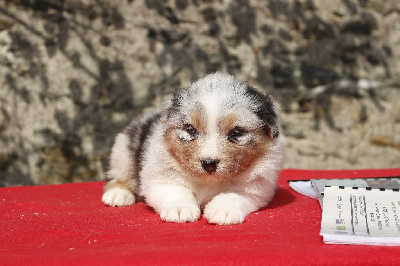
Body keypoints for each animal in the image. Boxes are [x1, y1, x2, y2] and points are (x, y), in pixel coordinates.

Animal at [102, 72, 284, 224]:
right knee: (117, 177)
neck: (208, 180)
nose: (209, 163)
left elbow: (234, 195)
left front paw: (223, 211)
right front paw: (180, 209)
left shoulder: (256, 187)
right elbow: (176, 191)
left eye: (236, 132)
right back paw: (118, 194)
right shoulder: (159, 178)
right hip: (122, 152)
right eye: (190, 130)